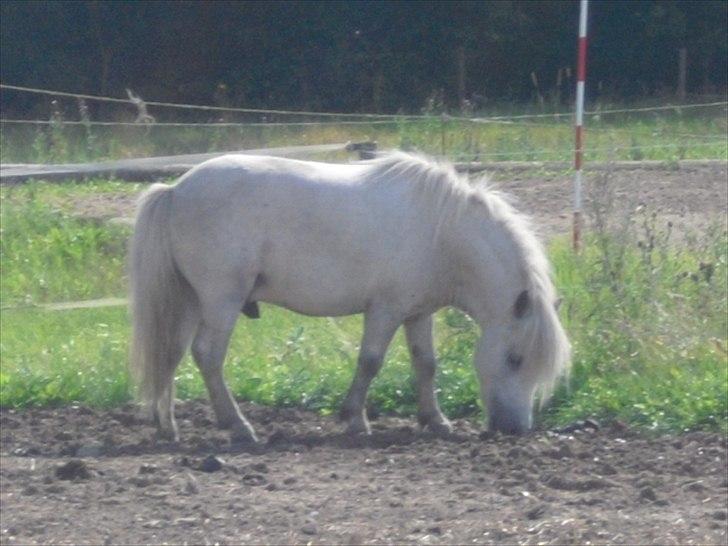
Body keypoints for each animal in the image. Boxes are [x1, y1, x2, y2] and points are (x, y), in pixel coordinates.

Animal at [131, 151, 568, 440]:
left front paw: (435, 421)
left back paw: (168, 426)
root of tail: (176, 189)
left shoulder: (417, 313)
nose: (516, 429)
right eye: (515, 358)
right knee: (207, 355)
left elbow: (426, 364)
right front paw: (355, 420)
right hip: (222, 300)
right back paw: (237, 425)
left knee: (171, 354)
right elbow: (370, 362)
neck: (442, 232)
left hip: (192, 301)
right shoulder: (385, 310)